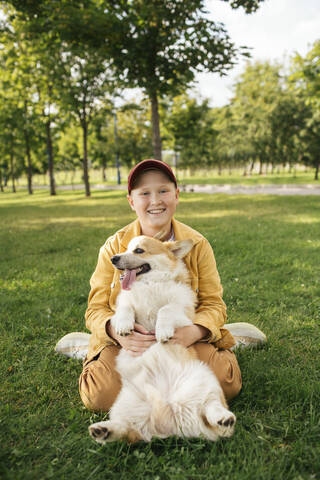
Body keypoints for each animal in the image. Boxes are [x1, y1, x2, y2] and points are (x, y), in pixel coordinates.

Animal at [89, 235, 236, 442]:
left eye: (139, 250)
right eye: (126, 248)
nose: (113, 259)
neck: (149, 284)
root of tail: (171, 419)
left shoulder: (183, 312)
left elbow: (165, 309)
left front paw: (162, 331)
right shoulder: (124, 306)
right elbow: (125, 308)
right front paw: (124, 326)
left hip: (207, 384)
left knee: (212, 409)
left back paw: (224, 419)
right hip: (126, 406)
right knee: (126, 429)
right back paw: (102, 430)